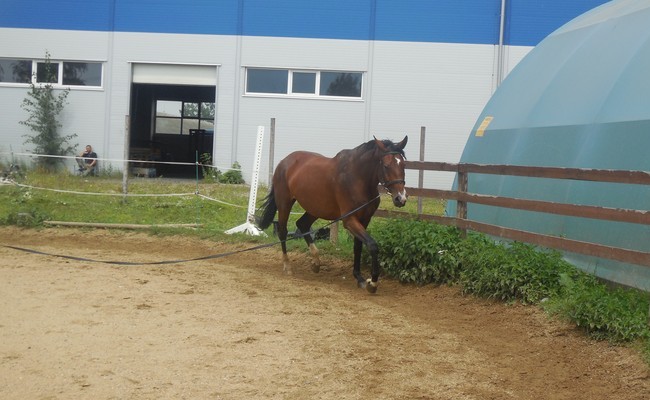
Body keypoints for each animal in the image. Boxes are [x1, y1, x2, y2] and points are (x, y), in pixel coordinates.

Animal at [256, 136, 408, 293]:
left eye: (403, 164)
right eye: (386, 165)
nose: (400, 198)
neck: (357, 178)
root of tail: (284, 162)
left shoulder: (364, 219)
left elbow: (358, 247)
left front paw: (359, 278)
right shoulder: (349, 220)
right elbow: (372, 245)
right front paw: (372, 283)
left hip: (316, 208)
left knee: (302, 224)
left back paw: (316, 262)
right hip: (284, 204)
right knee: (283, 231)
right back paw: (287, 266)